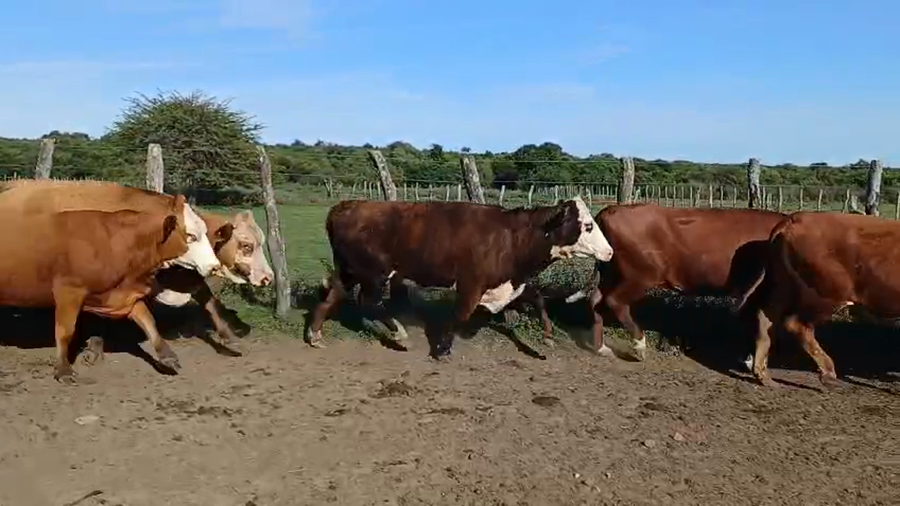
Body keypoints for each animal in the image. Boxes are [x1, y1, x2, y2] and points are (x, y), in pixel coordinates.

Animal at [0, 199, 194, 384]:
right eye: (190, 237)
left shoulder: (123, 295)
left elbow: (148, 321)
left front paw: (168, 357)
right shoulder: (69, 290)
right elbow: (65, 331)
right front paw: (63, 370)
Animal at [307, 196, 614, 358]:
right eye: (588, 225)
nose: (610, 251)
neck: (511, 237)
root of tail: (348, 205)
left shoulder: (509, 281)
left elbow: (538, 299)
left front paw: (547, 336)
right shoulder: (471, 283)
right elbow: (460, 314)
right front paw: (442, 348)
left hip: (349, 270)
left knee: (333, 295)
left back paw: (314, 334)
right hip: (372, 273)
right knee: (369, 302)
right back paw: (400, 334)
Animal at [564, 203, 786, 362]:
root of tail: (612, 209)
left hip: (611, 272)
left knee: (596, 300)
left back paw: (601, 348)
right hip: (641, 275)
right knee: (614, 301)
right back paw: (639, 346)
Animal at [736, 211, 900, 388]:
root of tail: (795, 218)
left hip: (786, 286)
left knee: (766, 318)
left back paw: (763, 375)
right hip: (826, 295)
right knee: (796, 324)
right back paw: (828, 374)